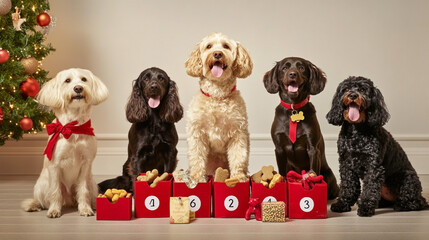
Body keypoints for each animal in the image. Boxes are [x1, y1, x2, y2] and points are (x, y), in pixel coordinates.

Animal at [21, 68, 108, 218]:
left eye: (84, 79)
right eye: (67, 80)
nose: (78, 88)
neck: (73, 126)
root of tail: (68, 201)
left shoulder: (85, 164)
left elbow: (83, 190)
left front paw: (85, 209)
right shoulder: (55, 165)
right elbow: (55, 191)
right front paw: (54, 210)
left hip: (92, 183)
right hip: (41, 185)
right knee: (41, 200)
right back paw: (33, 205)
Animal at [183, 32, 251, 182]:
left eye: (226, 46)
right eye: (209, 46)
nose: (218, 53)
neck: (217, 96)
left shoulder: (238, 133)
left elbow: (238, 156)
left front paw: (238, 177)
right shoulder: (197, 133)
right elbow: (197, 157)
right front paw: (197, 178)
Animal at [262, 57, 340, 200]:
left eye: (301, 68)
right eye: (285, 68)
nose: (292, 74)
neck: (293, 109)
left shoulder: (313, 148)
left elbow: (313, 172)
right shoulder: (279, 149)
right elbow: (282, 173)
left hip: (329, 175)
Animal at [326, 77, 426, 218]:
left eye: (363, 89)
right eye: (346, 89)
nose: (353, 95)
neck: (357, 131)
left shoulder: (373, 165)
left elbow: (370, 188)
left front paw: (365, 208)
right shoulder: (346, 163)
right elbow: (347, 186)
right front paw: (342, 204)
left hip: (406, 177)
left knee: (416, 202)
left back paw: (402, 205)